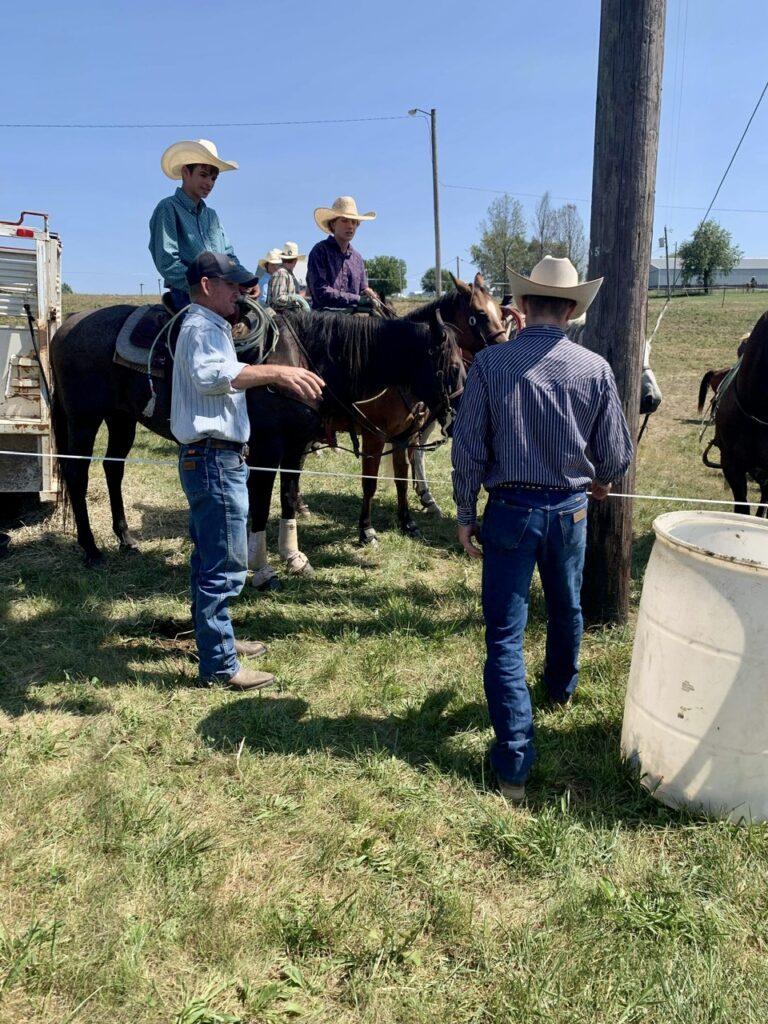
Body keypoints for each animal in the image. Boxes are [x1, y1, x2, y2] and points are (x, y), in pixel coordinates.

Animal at [52, 299, 462, 573]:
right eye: (455, 368)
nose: (458, 419)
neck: (302, 360)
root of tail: (67, 324)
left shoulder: (295, 447)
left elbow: (288, 498)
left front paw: (294, 557)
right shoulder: (267, 448)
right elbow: (262, 504)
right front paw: (261, 564)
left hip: (121, 419)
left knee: (113, 469)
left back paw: (126, 539)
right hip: (84, 419)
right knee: (77, 474)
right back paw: (91, 549)